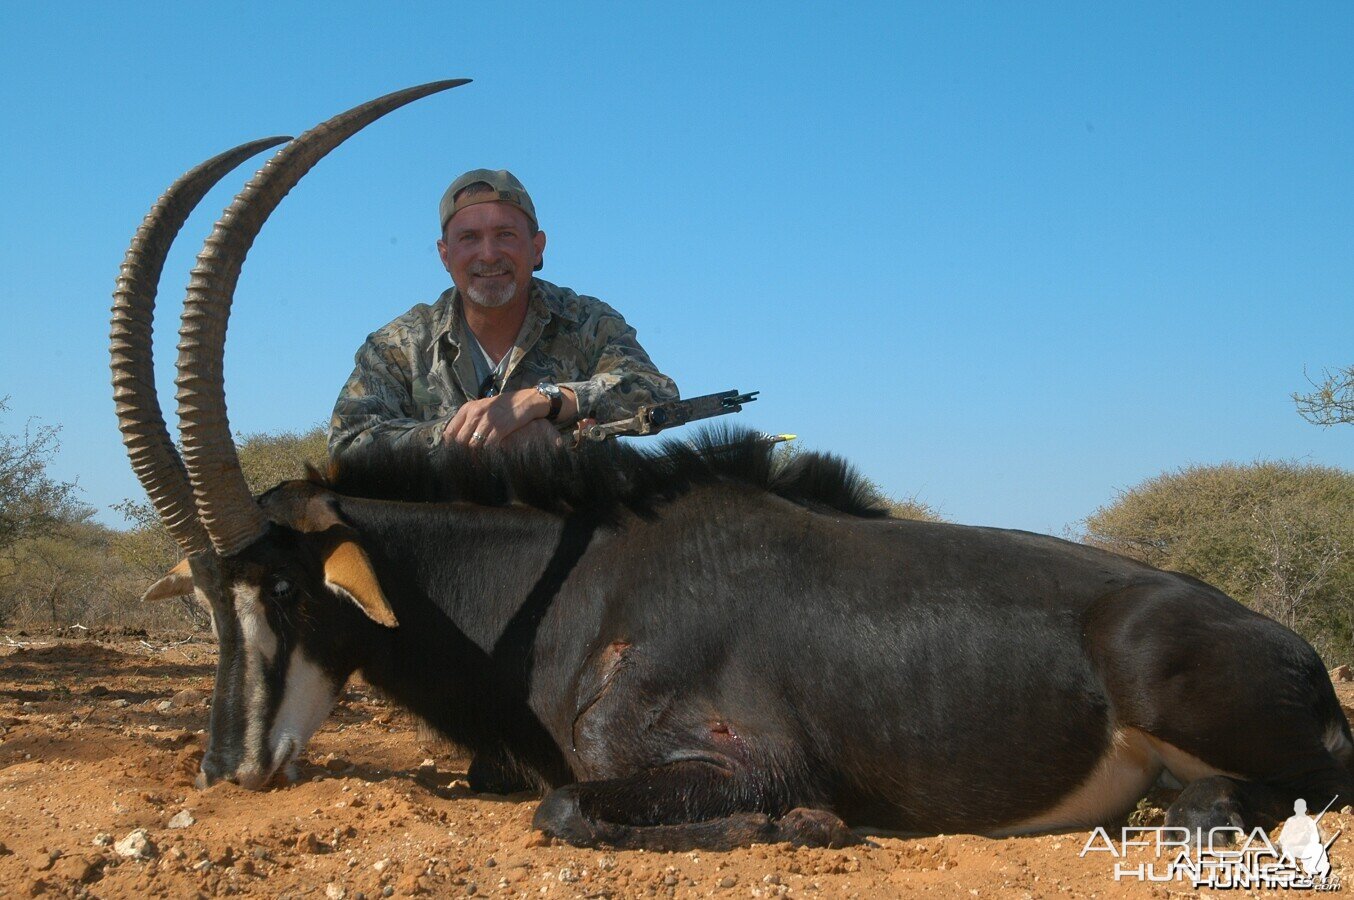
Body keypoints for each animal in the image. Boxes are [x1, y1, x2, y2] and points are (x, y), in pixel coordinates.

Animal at [111, 80, 1354, 844]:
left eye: (283, 591)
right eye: (209, 606)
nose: (229, 770)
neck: (568, 583)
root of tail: (1298, 652)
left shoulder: (726, 756)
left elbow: (569, 809)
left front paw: (801, 827)